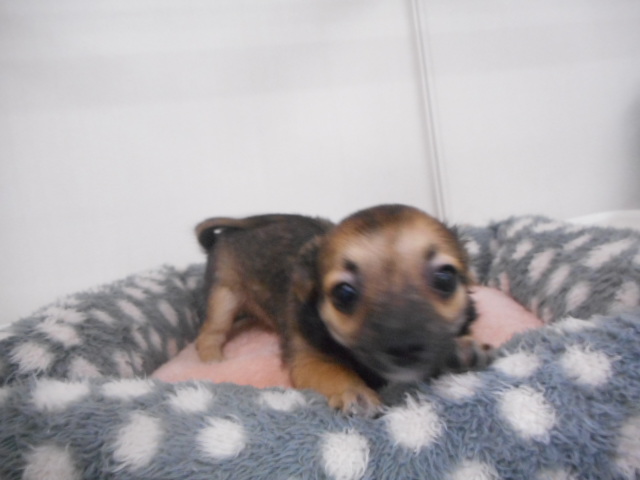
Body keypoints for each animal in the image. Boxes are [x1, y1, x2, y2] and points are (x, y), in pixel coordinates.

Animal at [195, 205, 492, 415]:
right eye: (344, 294)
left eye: (445, 279)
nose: (404, 346)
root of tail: (229, 232)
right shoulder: (309, 359)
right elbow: (333, 372)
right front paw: (354, 393)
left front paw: (459, 350)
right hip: (224, 296)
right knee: (210, 332)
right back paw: (213, 360)